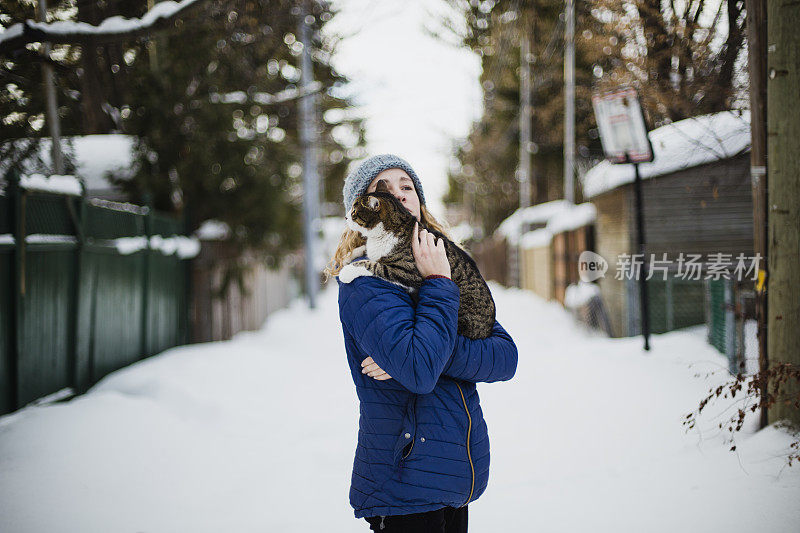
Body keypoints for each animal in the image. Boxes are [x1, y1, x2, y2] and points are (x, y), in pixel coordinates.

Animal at [338, 178, 494, 336]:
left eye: (354, 211)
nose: (345, 217)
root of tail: (488, 329)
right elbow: (364, 249)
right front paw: (347, 256)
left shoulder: (407, 272)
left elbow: (374, 266)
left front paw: (347, 272)